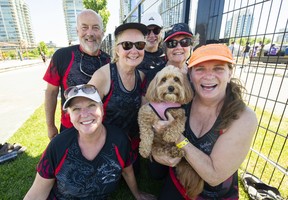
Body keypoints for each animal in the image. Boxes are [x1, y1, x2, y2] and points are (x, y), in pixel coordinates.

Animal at [138, 65, 204, 198]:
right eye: (163, 79)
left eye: (176, 79)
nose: (171, 88)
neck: (166, 103)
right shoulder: (144, 114)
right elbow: (146, 134)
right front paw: (144, 150)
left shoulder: (181, 114)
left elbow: (177, 124)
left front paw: (169, 135)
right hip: (157, 146)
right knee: (161, 149)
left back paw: (177, 151)